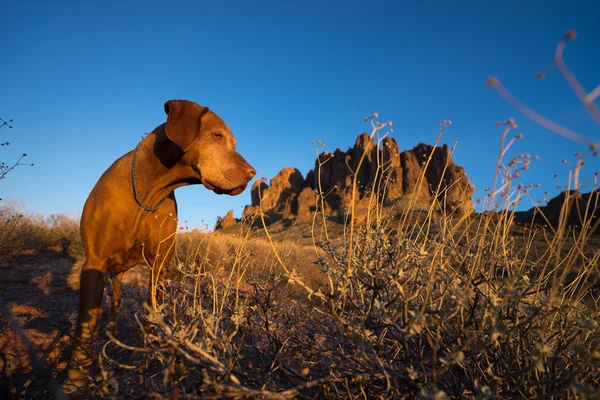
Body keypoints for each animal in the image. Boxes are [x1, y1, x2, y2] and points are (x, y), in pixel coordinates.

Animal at [63, 98, 255, 392]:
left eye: (233, 143)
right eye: (217, 136)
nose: (252, 173)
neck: (147, 189)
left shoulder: (159, 266)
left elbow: (153, 314)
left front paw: (149, 358)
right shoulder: (94, 262)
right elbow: (86, 322)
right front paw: (74, 376)